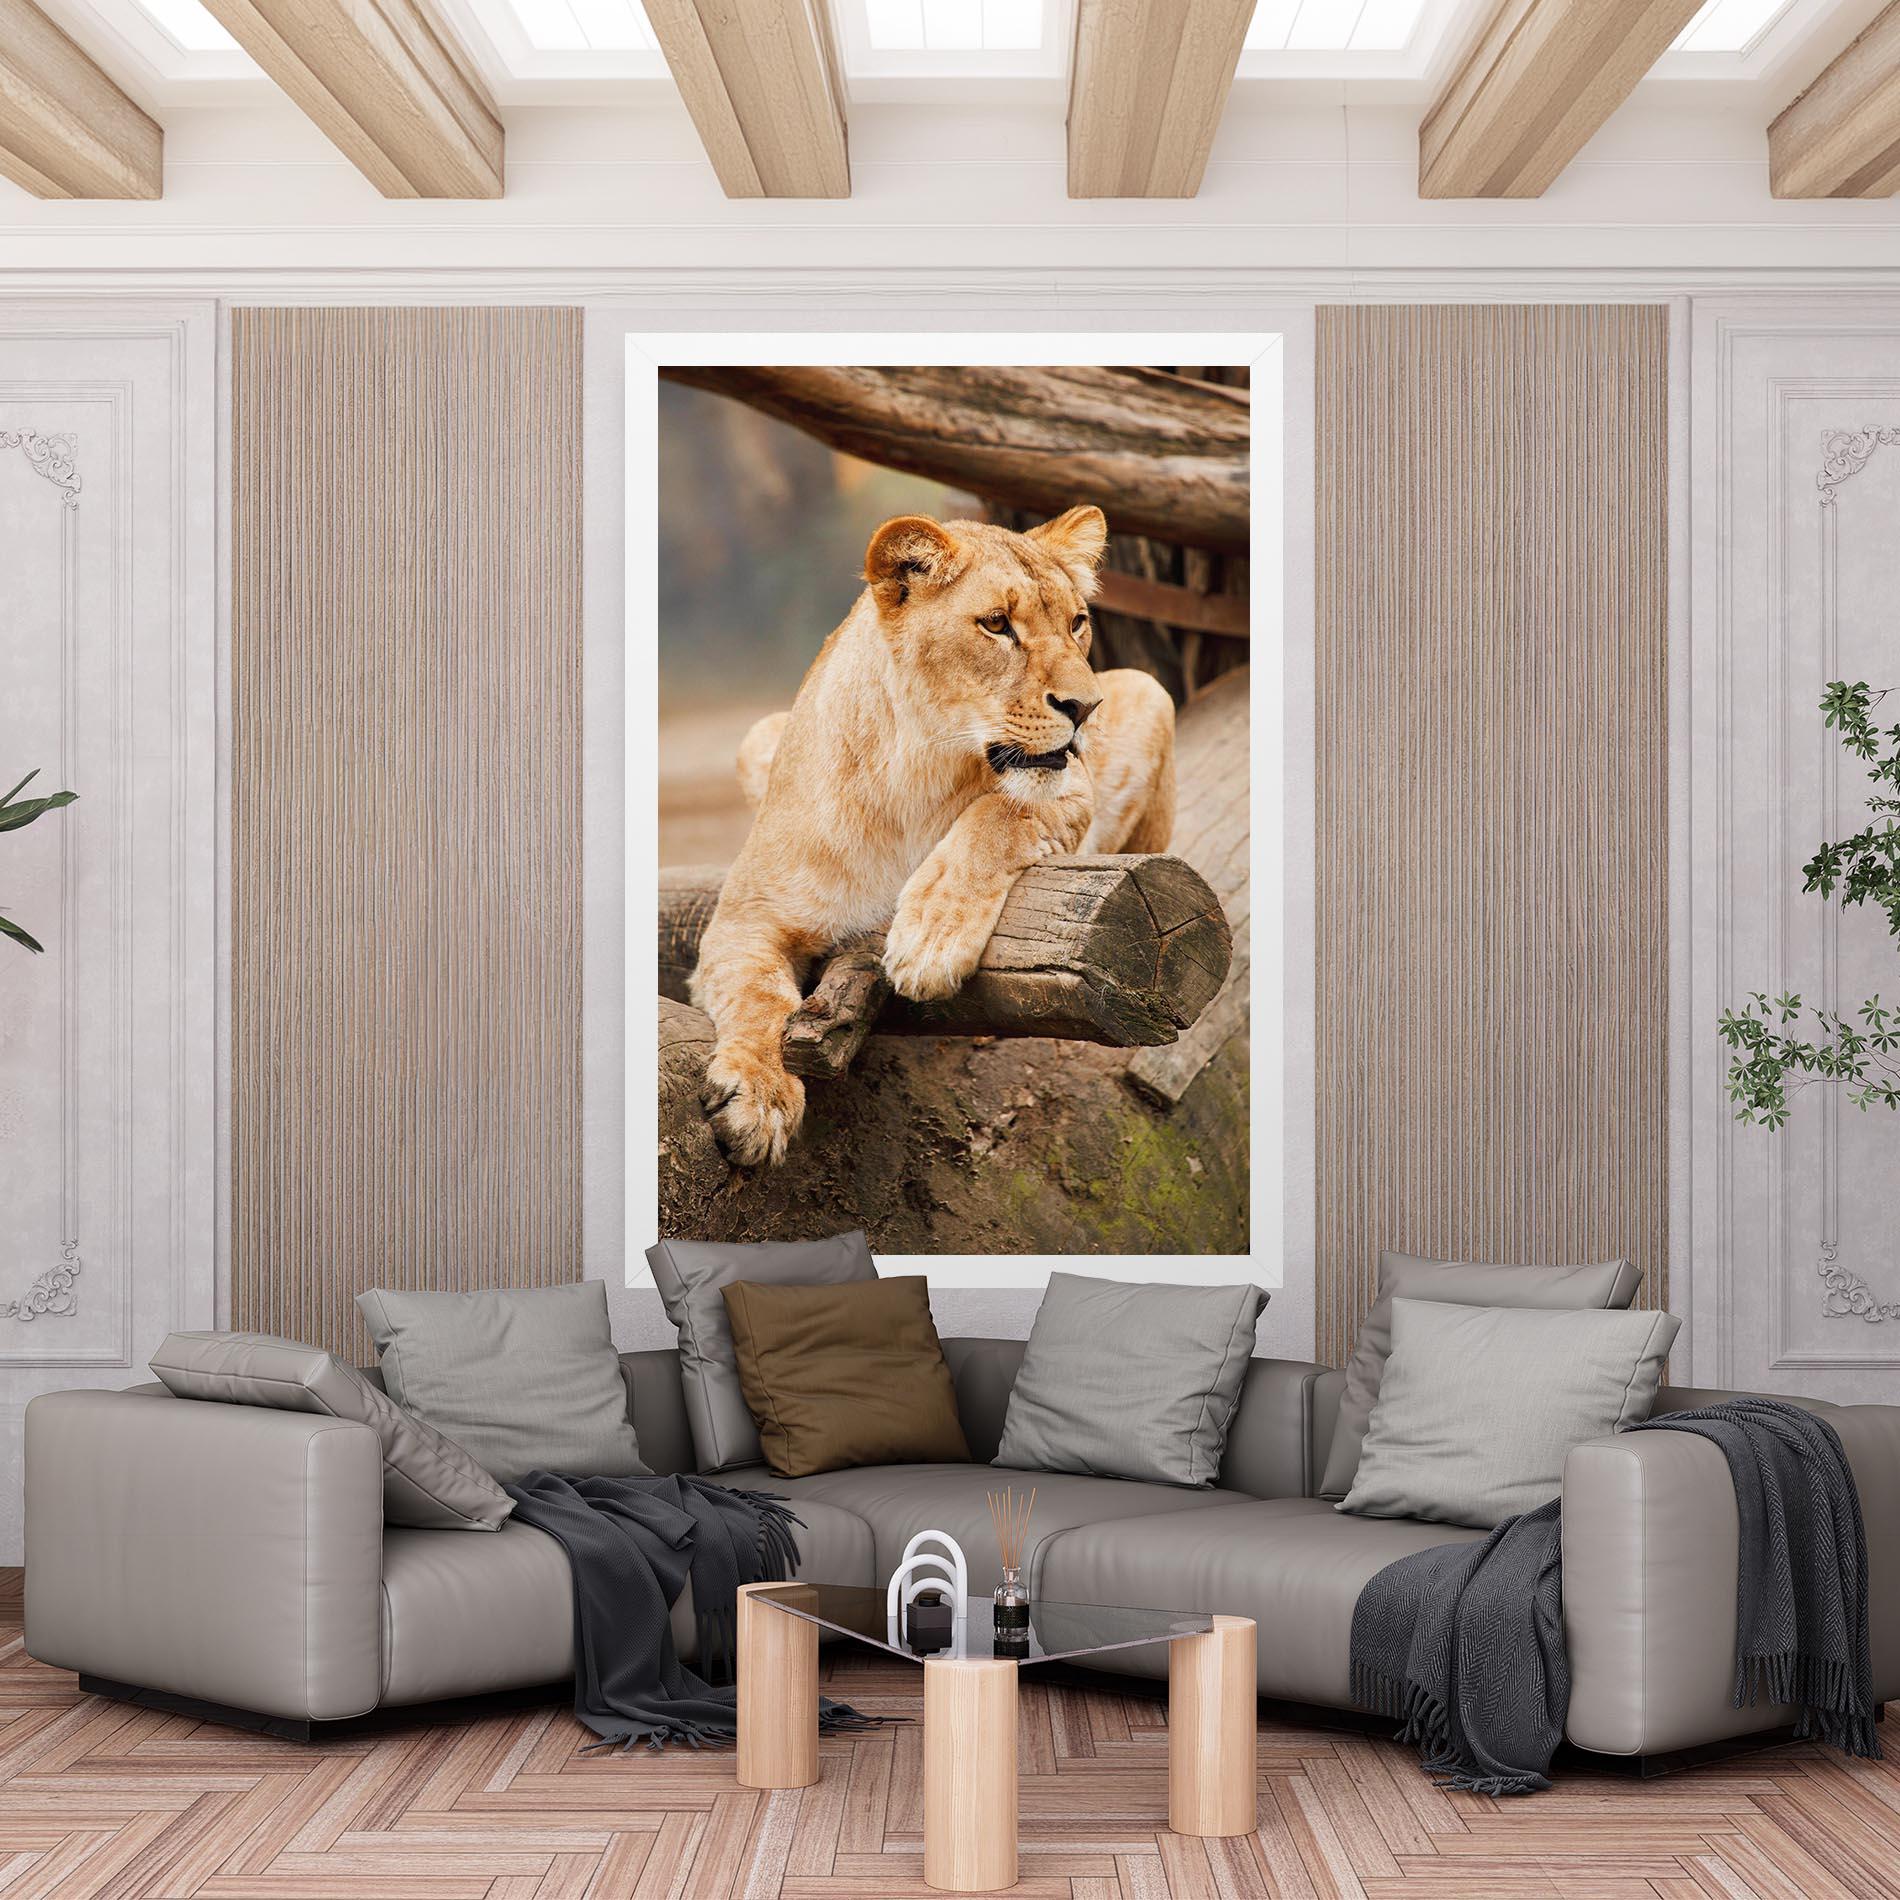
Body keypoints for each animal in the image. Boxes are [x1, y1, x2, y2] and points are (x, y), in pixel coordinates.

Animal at [688, 505, 1176, 1167]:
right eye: (996, 624)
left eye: (1077, 623)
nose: (1086, 708)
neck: (916, 772)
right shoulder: (744, 919)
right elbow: (756, 995)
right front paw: (759, 1097)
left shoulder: (1072, 789)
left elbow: (999, 814)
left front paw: (929, 940)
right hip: (758, 734)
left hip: (1151, 691)